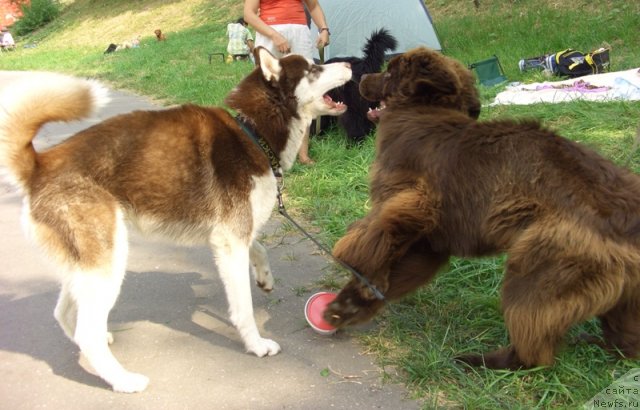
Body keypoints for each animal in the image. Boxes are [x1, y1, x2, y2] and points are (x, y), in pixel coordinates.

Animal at [0, 46, 350, 392]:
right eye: (313, 69)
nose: (347, 63)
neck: (252, 132)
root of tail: (39, 166)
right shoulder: (231, 241)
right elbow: (244, 308)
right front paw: (256, 344)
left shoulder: (231, 234)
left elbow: (259, 247)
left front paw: (265, 277)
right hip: (108, 262)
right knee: (87, 332)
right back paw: (123, 380)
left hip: (85, 267)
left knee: (64, 313)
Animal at [324, 46, 640, 370]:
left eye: (389, 73)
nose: (360, 77)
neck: (423, 112)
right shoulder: (433, 239)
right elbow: (398, 261)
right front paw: (346, 305)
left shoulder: (416, 199)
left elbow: (375, 236)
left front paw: (356, 268)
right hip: (623, 298)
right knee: (624, 340)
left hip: (541, 267)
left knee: (534, 346)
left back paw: (478, 361)